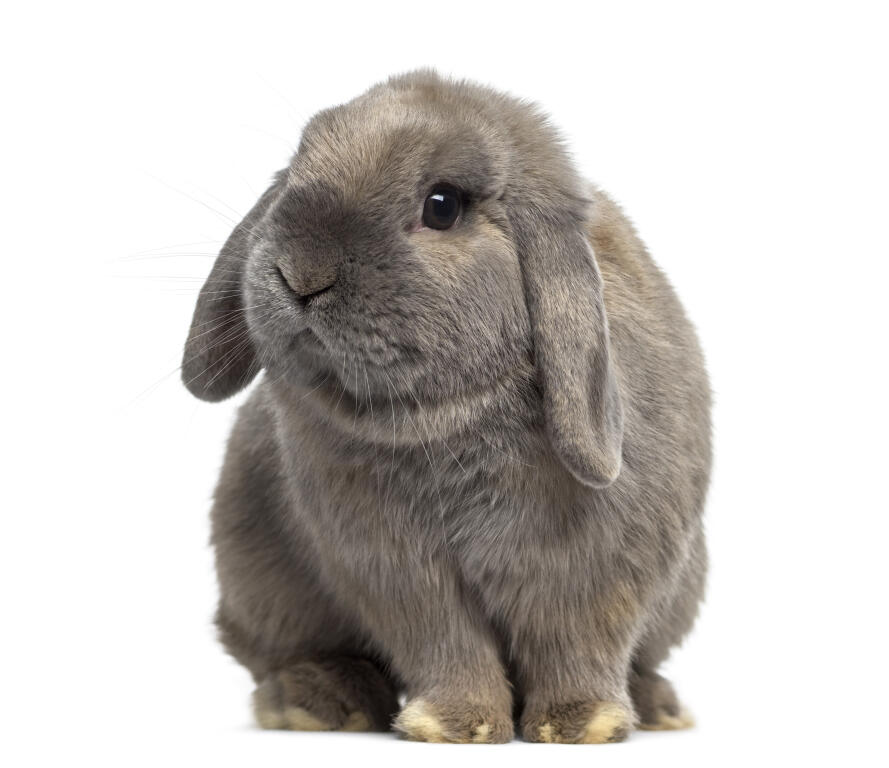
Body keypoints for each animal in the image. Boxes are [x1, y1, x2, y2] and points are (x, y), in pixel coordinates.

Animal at [181, 70, 711, 744]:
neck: (449, 420)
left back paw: (657, 706)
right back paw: (317, 702)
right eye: (296, 172)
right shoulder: (395, 568)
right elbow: (442, 641)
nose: (300, 274)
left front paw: (579, 724)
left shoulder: (599, 565)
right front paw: (455, 726)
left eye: (442, 205)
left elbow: (578, 640)